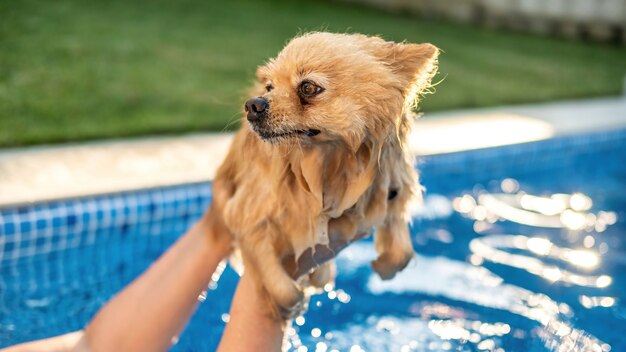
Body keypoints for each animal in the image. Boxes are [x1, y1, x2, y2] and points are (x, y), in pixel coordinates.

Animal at [205, 32, 438, 320]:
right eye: (270, 87)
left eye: (308, 88)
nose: (253, 104)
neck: (328, 162)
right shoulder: (245, 213)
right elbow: (279, 281)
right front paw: (290, 303)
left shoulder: (389, 190)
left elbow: (402, 249)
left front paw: (385, 266)